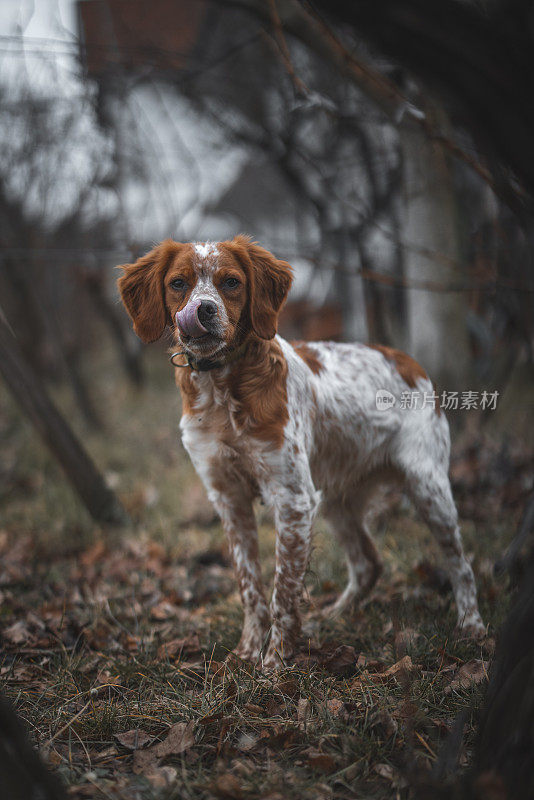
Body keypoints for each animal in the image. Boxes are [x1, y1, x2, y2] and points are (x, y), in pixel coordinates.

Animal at [119, 238, 488, 668]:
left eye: (231, 282)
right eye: (178, 283)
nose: (203, 310)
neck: (223, 391)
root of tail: (407, 360)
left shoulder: (292, 498)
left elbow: (283, 589)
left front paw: (275, 663)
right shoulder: (229, 498)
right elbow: (249, 585)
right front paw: (247, 652)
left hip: (426, 487)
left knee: (460, 564)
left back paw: (472, 625)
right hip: (334, 501)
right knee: (367, 563)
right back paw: (336, 614)